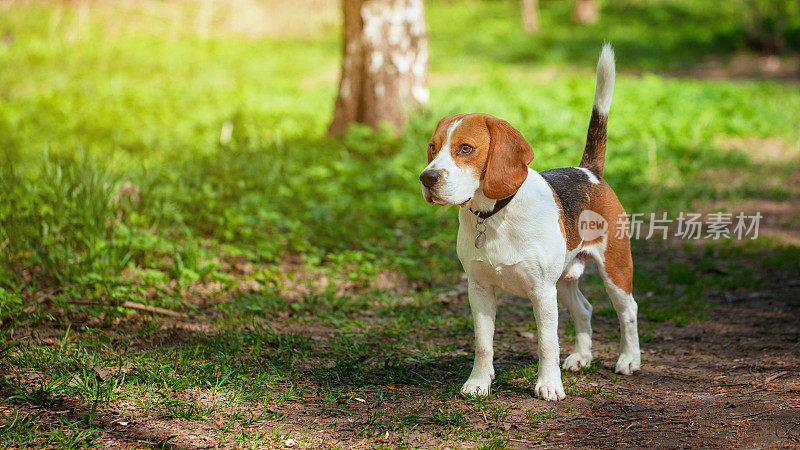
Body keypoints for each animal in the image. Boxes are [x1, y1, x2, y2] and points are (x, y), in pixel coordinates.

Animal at [422, 44, 640, 400]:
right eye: (432, 147)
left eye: (465, 148)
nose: (426, 178)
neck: (495, 216)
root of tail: (588, 171)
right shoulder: (479, 289)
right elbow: (483, 344)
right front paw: (479, 382)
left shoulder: (541, 292)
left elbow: (546, 343)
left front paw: (549, 385)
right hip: (564, 279)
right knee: (584, 309)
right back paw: (582, 357)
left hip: (615, 269)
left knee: (628, 311)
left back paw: (629, 359)